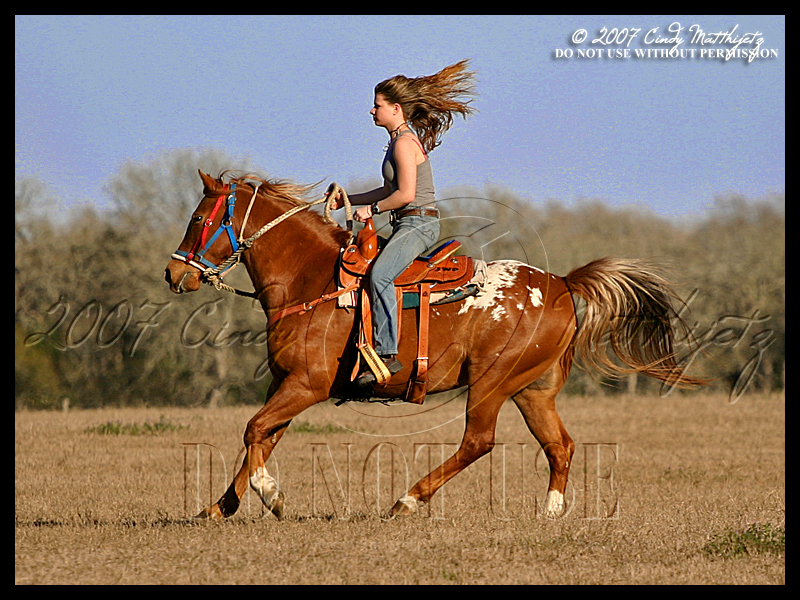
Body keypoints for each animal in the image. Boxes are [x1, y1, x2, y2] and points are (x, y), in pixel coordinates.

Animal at [166, 170, 704, 520]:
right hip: (532, 391)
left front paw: (270, 497)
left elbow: (255, 431)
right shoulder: (285, 383)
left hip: (491, 382)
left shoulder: (306, 384)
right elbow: (262, 438)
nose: (173, 274)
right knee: (560, 446)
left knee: (479, 442)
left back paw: (406, 500)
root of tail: (562, 285)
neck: (311, 280)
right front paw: (218, 508)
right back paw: (550, 514)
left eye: (198, 218)